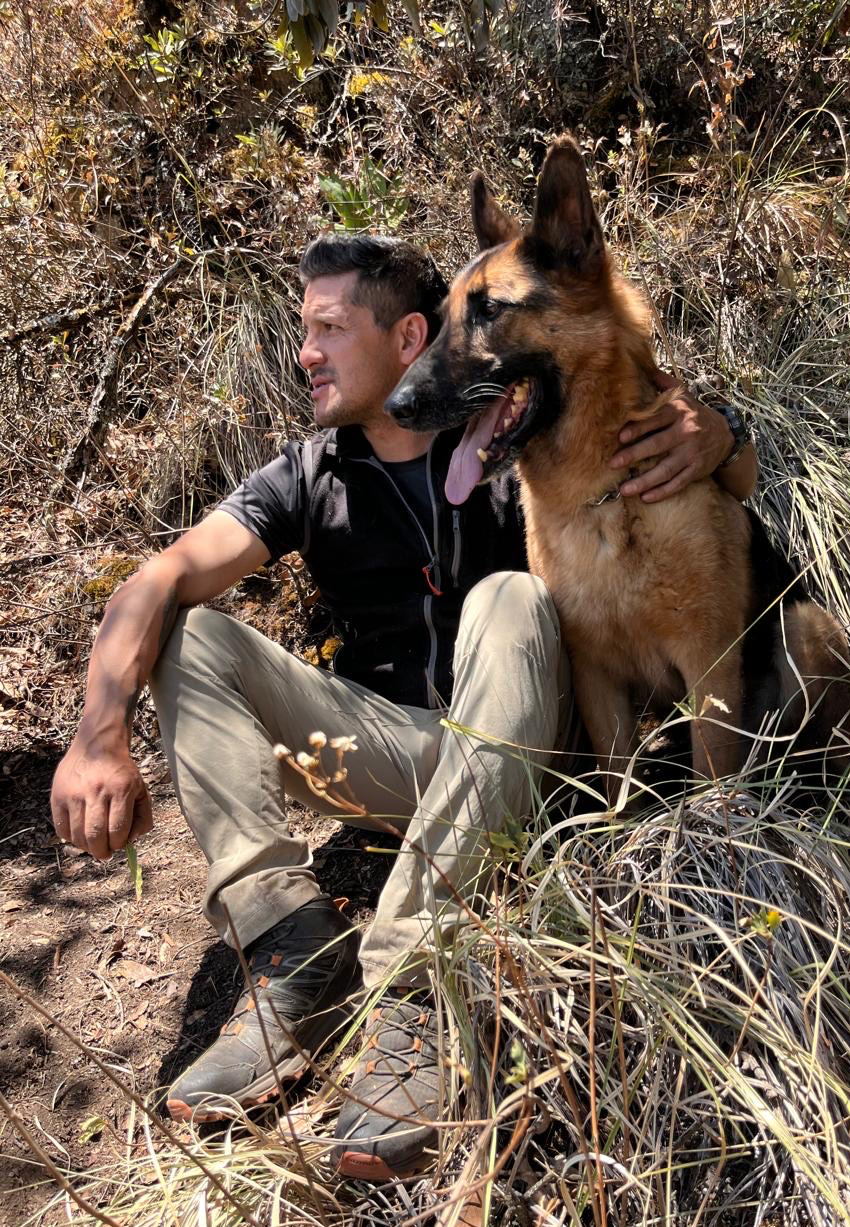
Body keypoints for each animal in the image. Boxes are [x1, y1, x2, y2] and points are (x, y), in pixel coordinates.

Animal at [386, 135, 850, 798]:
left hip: (802, 628)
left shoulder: (709, 672)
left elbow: (712, 777)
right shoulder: (597, 679)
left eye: (490, 310)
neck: (603, 495)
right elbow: (617, 783)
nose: (395, 407)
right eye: (443, 316)